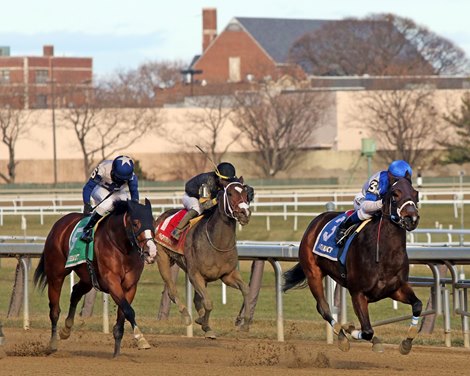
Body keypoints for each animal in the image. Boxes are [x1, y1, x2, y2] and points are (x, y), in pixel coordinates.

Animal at [34, 198, 158, 356]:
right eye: (136, 223)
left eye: (153, 222)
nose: (151, 252)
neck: (121, 247)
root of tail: (60, 223)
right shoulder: (112, 281)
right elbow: (129, 310)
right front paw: (141, 338)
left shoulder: (130, 286)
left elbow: (123, 314)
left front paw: (116, 353)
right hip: (56, 274)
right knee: (54, 310)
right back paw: (52, 344)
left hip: (88, 278)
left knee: (75, 292)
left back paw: (66, 329)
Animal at [154, 179, 252, 338]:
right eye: (230, 193)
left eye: (245, 193)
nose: (245, 213)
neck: (216, 242)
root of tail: (162, 215)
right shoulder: (195, 275)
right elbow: (208, 303)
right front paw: (206, 326)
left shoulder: (228, 275)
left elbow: (246, 290)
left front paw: (245, 323)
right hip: (162, 257)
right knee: (172, 291)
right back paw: (186, 315)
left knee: (194, 298)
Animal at [280, 178, 420, 354]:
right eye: (395, 194)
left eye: (416, 193)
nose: (411, 218)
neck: (384, 254)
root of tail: (317, 220)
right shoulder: (358, 293)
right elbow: (366, 330)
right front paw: (349, 328)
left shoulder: (395, 289)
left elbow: (417, 305)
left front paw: (406, 343)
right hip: (313, 273)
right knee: (323, 308)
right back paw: (342, 337)